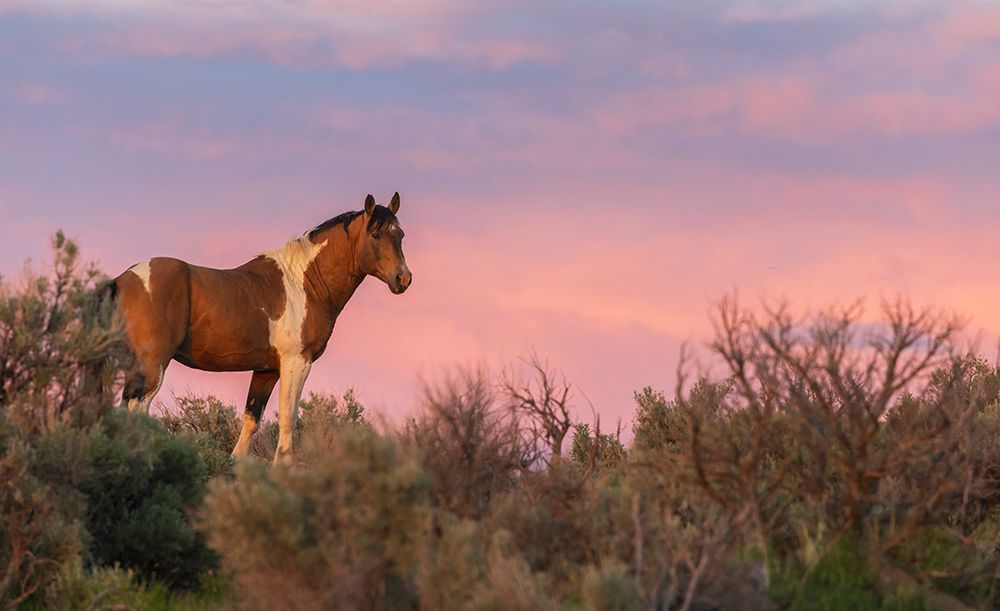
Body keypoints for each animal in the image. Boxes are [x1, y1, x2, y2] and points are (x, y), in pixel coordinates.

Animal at [108, 193, 411, 462]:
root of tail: (124, 279)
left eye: (400, 235)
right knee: (137, 408)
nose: (403, 279)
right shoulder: (296, 362)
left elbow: (251, 420)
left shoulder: (266, 370)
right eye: (375, 235)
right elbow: (288, 418)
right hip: (153, 367)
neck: (305, 283)